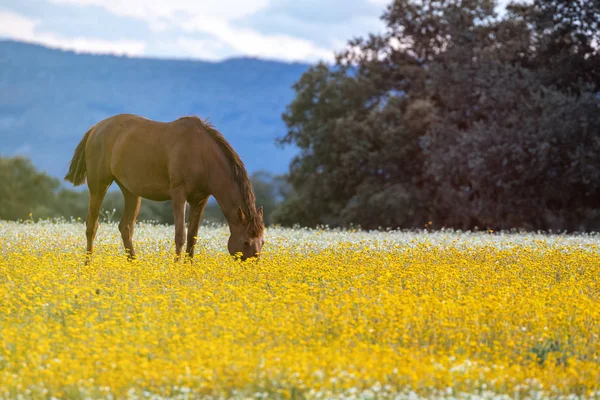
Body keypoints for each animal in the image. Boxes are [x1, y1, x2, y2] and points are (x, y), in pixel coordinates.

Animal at [62, 113, 264, 262]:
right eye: (246, 242)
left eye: (262, 242)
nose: (252, 266)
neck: (201, 154)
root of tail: (95, 129)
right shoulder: (179, 194)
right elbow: (180, 235)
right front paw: (176, 268)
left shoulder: (200, 199)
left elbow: (193, 236)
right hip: (98, 186)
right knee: (92, 226)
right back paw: (88, 264)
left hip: (131, 192)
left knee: (125, 227)